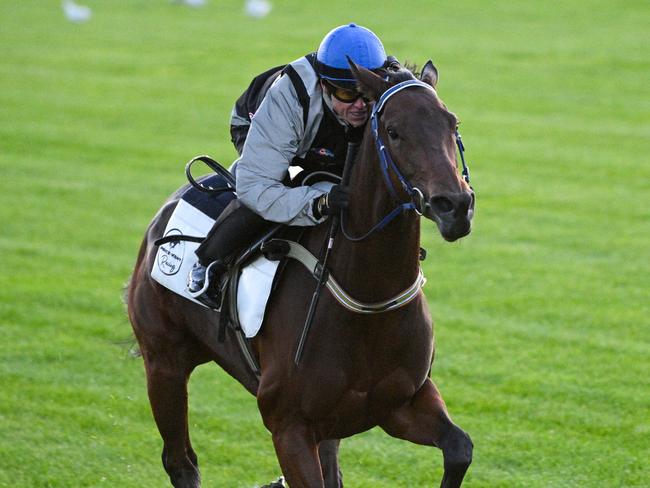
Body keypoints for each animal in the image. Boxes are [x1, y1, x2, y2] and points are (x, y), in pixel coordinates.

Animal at [126, 62, 474, 488]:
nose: (455, 205)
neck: (369, 300)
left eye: (452, 123)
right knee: (181, 462)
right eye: (393, 131)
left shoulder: (401, 404)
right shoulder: (288, 426)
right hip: (164, 362)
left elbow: (459, 447)